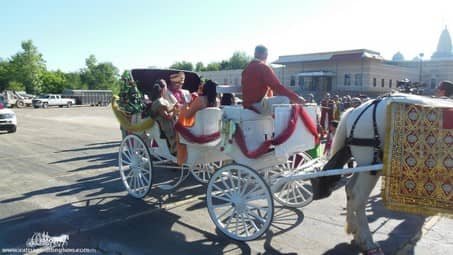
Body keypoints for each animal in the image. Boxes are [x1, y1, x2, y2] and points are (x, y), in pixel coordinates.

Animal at [312, 93, 452, 255]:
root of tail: (358, 110)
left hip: (365, 166)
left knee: (350, 189)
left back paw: (354, 229)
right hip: (371, 165)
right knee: (358, 196)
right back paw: (367, 242)